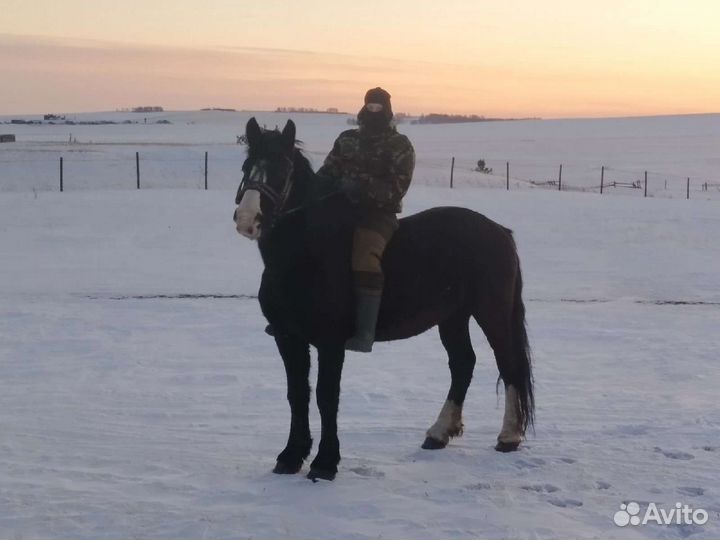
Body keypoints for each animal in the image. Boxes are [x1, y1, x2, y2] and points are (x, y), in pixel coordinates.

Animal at [233, 117, 534, 481]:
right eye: (247, 167)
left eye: (282, 169)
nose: (247, 220)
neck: (304, 255)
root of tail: (499, 231)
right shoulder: (288, 337)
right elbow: (298, 395)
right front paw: (291, 456)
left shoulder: (330, 343)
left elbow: (326, 397)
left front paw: (324, 463)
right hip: (453, 317)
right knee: (463, 364)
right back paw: (438, 433)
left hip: (492, 312)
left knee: (509, 363)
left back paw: (508, 437)